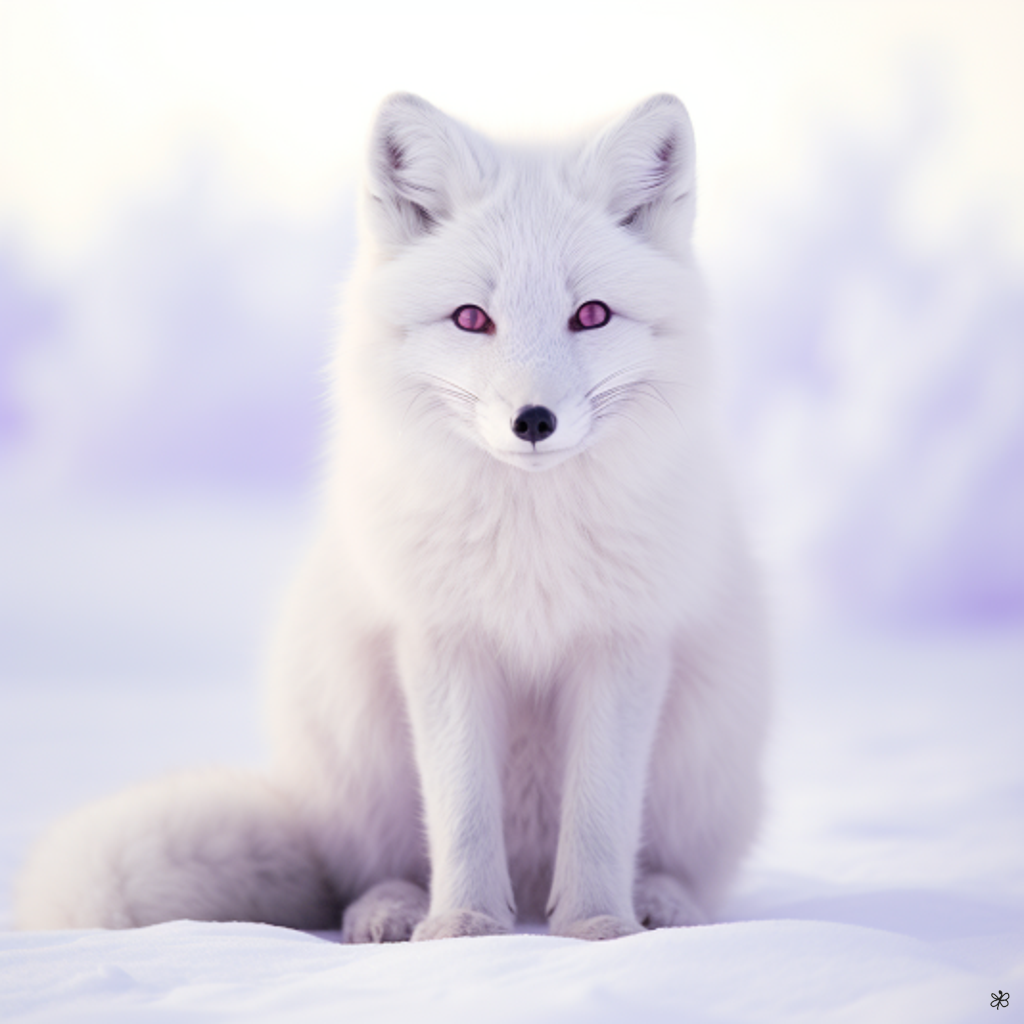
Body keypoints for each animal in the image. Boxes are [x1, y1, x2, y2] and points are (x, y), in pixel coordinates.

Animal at [16, 93, 769, 941]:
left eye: (593, 314)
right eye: (471, 319)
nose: (533, 421)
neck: (528, 544)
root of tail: (528, 873)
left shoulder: (622, 644)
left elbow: (602, 818)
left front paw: (597, 928)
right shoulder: (441, 641)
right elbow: (462, 814)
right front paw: (464, 928)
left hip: (703, 761)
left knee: (678, 865)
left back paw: (662, 905)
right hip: (359, 751)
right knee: (368, 871)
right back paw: (392, 912)